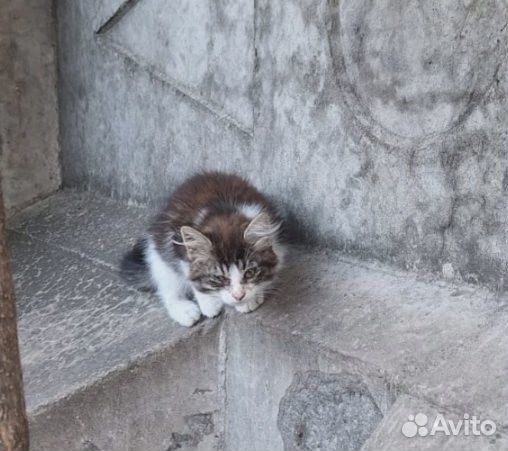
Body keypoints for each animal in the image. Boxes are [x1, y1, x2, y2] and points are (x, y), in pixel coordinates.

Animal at [120, 171, 286, 326]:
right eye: (219, 278)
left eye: (249, 273)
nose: (238, 296)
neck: (223, 214)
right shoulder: (177, 246)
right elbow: (189, 273)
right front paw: (209, 302)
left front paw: (252, 297)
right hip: (157, 253)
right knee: (167, 286)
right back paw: (184, 310)